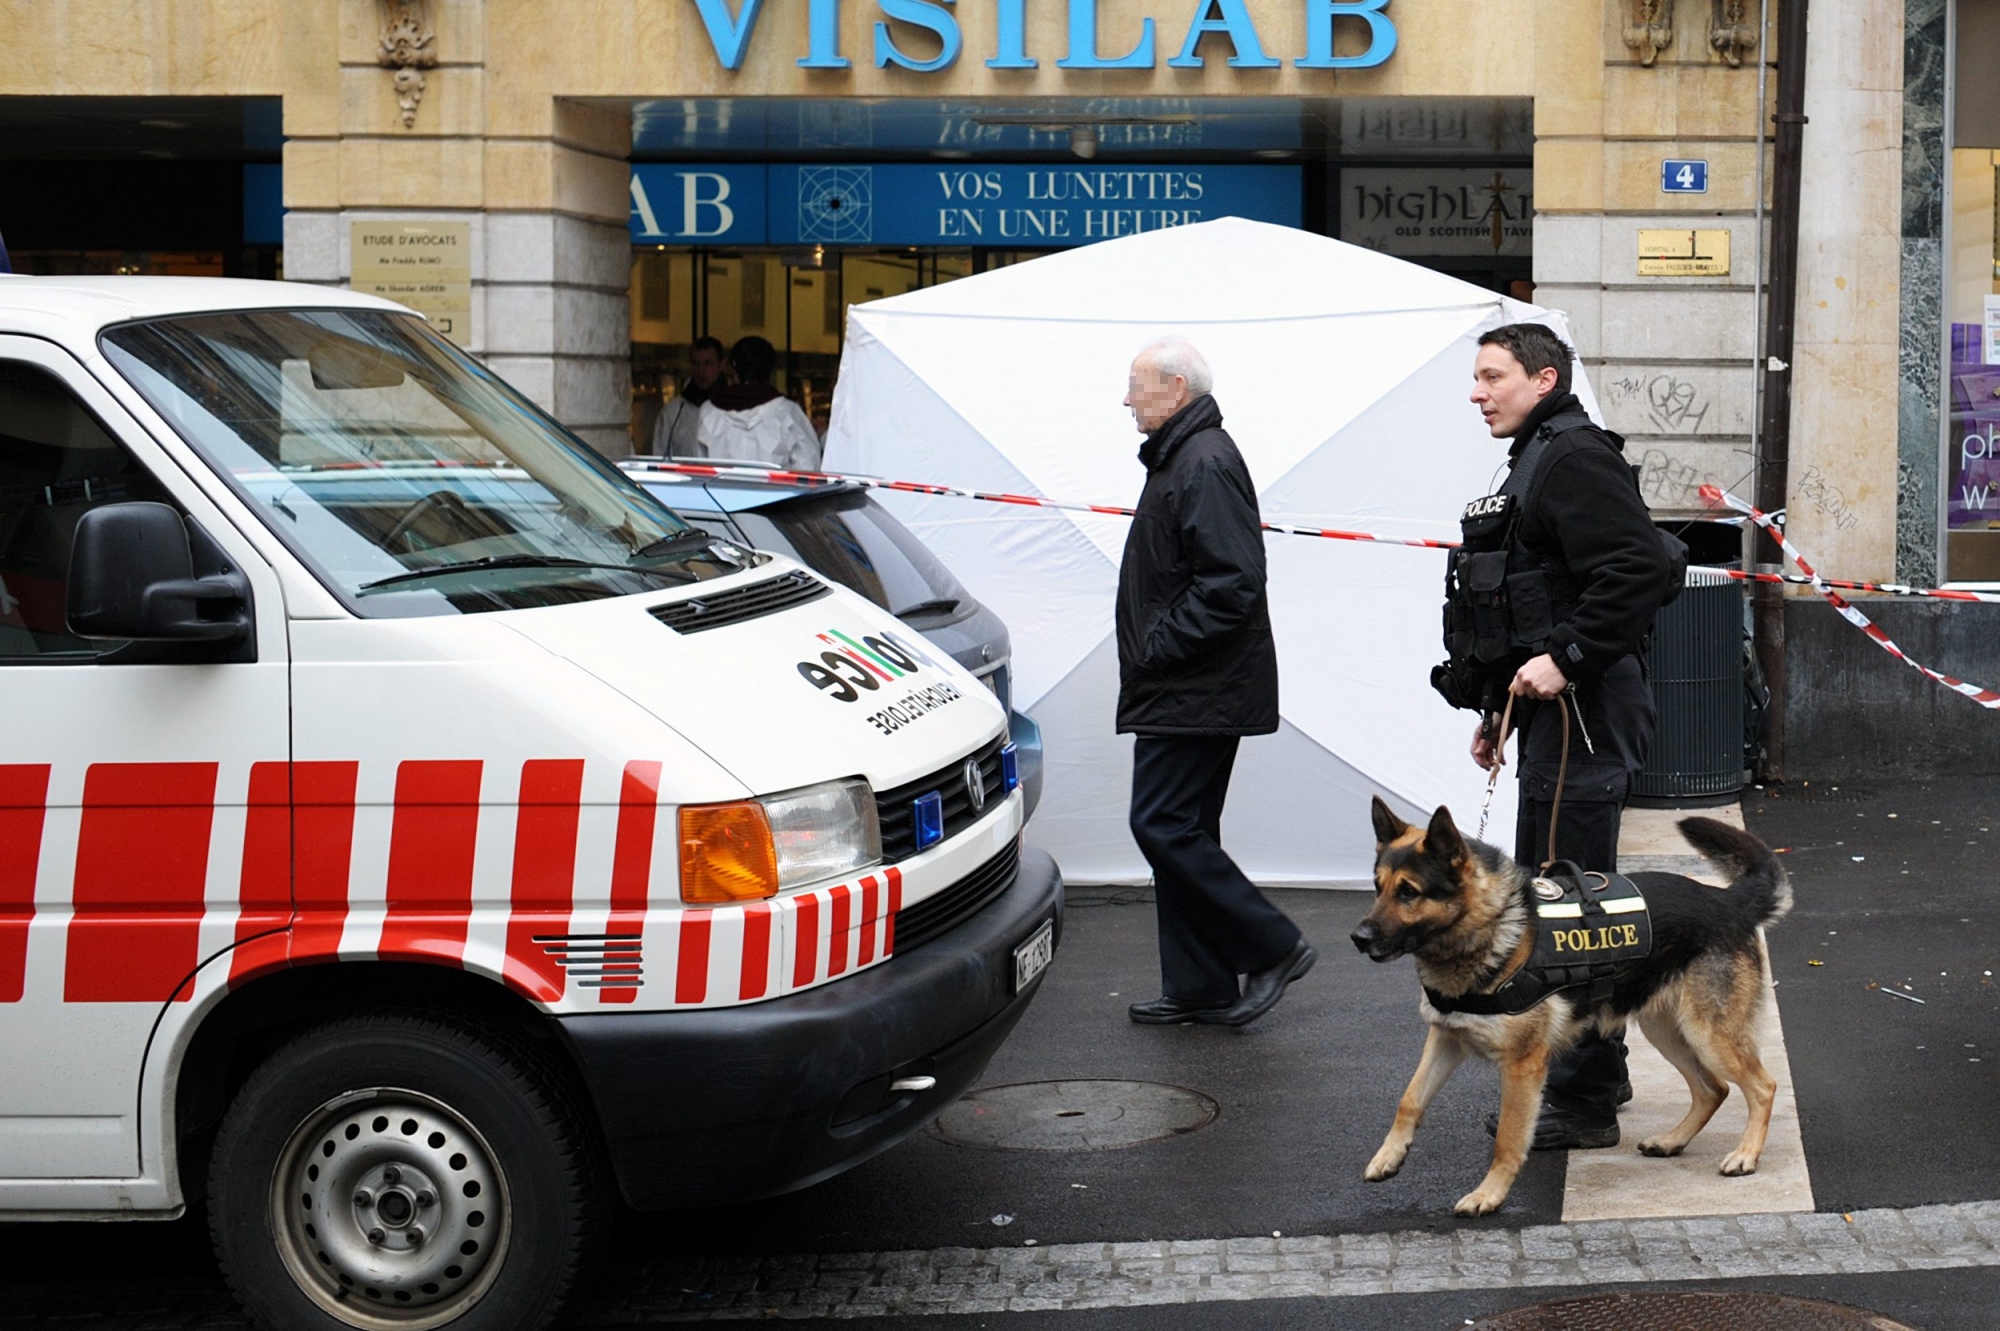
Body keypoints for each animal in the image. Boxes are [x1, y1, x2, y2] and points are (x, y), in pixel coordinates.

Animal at [1352, 791, 1792, 1215]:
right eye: (1377, 887)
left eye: (1409, 892)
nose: (1358, 938)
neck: (1490, 927)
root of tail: (1728, 900)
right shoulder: (1446, 1038)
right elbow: (1409, 1100)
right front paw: (1388, 1156)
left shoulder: (1523, 1065)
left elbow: (1508, 1139)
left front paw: (1488, 1195)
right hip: (1668, 1033)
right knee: (1713, 1089)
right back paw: (1672, 1140)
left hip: (1708, 1035)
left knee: (1762, 1086)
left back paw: (1745, 1156)